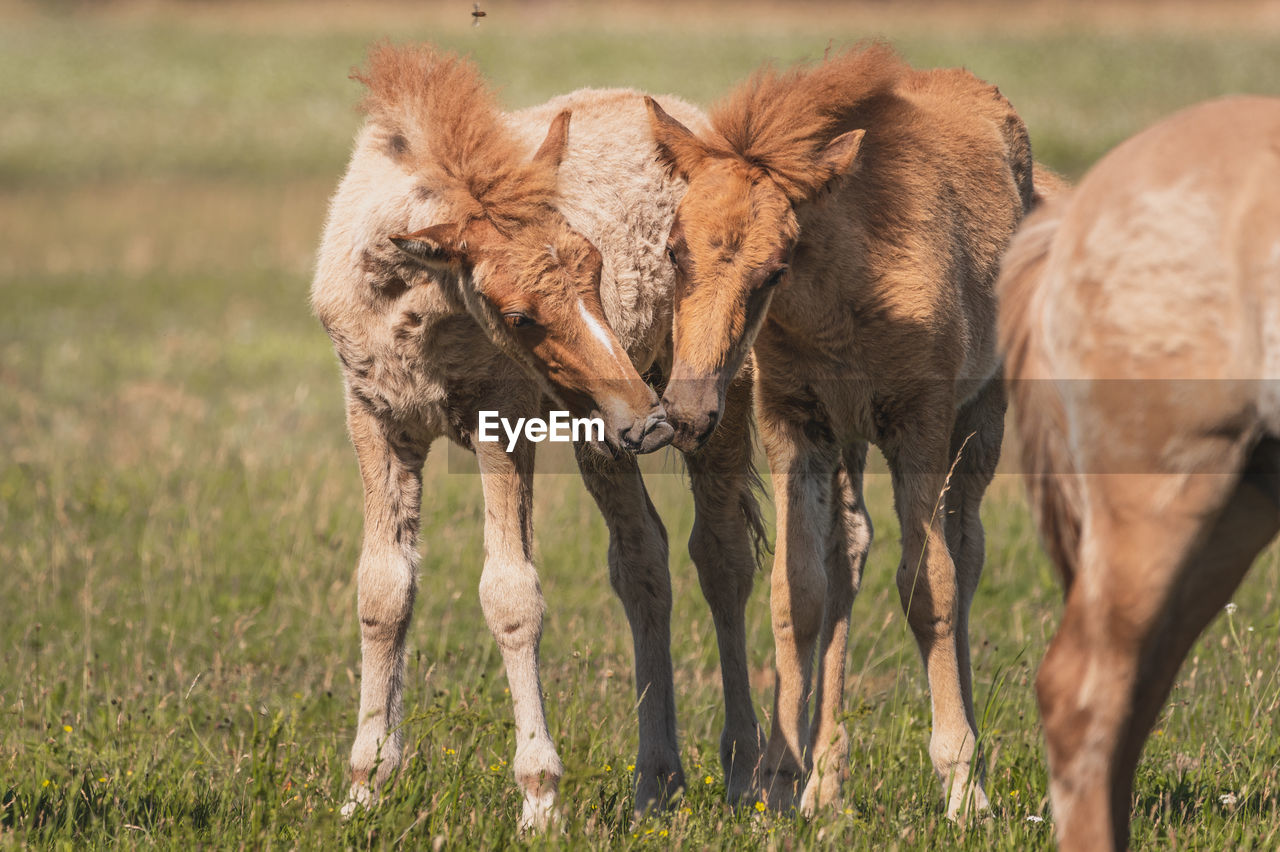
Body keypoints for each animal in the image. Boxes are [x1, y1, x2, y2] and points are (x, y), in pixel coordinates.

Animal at [313, 43, 762, 823]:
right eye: (519, 314)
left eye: (597, 267)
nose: (649, 415)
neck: (414, 313)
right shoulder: (375, 418)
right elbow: (383, 590)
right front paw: (365, 786)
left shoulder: (502, 424)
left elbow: (511, 595)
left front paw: (540, 797)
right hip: (598, 434)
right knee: (643, 559)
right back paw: (657, 783)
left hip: (715, 399)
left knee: (724, 558)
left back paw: (744, 777)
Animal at [645, 43, 1034, 813]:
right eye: (675, 250)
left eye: (774, 269)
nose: (689, 411)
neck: (843, 302)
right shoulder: (797, 423)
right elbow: (799, 590)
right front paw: (779, 779)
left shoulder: (920, 422)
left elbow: (930, 587)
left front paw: (961, 782)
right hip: (849, 436)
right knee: (849, 551)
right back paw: (827, 783)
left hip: (980, 419)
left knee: (966, 551)